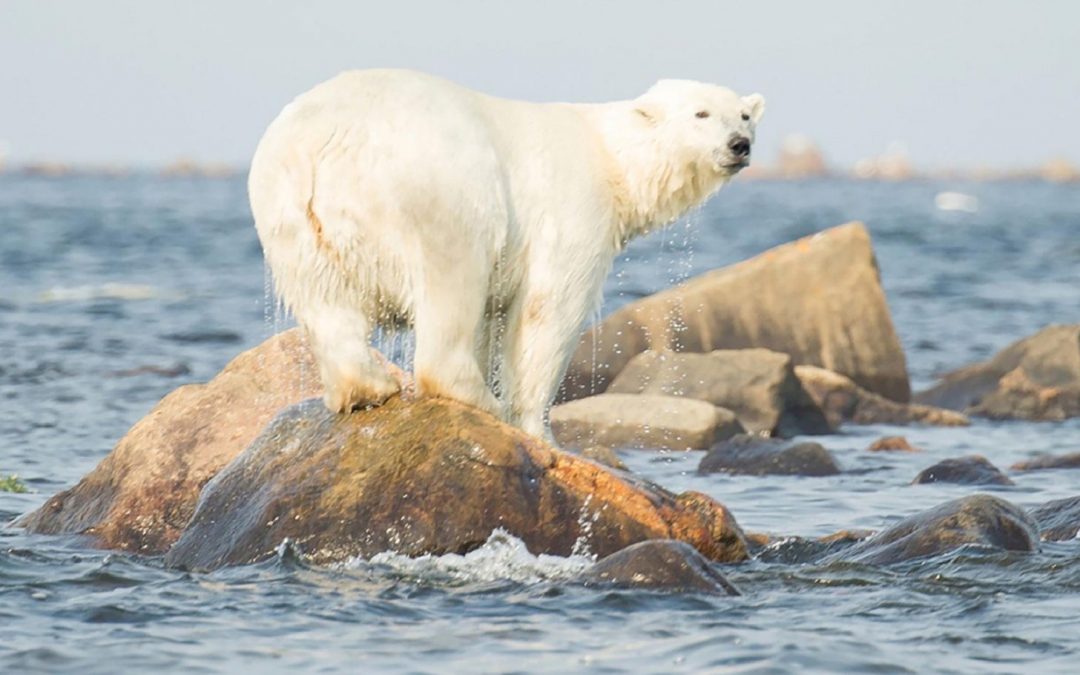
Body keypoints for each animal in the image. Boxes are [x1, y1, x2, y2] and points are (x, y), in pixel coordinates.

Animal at [249, 69, 764, 437]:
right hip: (440, 185)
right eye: (700, 114)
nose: (740, 145)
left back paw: (365, 388)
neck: (612, 158)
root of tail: (325, 137)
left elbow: (490, 321)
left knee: (325, 299)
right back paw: (477, 399)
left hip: (287, 209)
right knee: (452, 275)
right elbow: (549, 310)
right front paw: (536, 426)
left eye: (743, 116)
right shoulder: (572, 209)